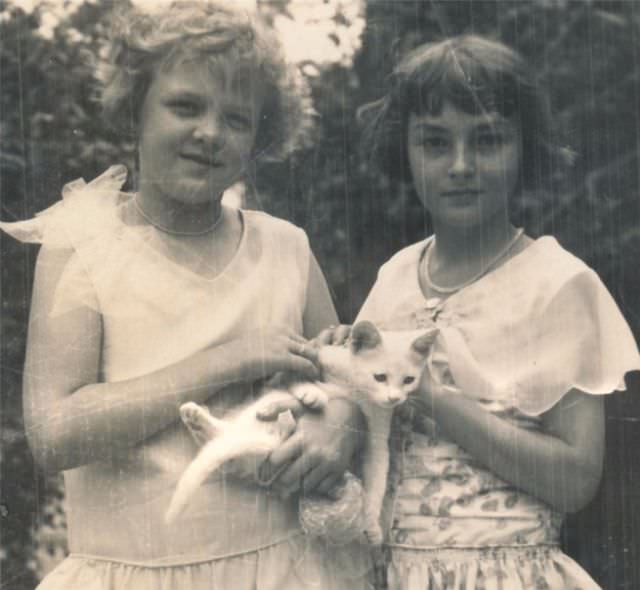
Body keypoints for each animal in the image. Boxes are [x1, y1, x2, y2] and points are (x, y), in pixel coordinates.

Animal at [165, 324, 436, 544]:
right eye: (380, 377)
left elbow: (377, 479)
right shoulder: (308, 359)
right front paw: (311, 393)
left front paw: (371, 525)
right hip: (264, 406)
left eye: (409, 380)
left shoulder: (377, 434)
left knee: (230, 449)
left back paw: (200, 423)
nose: (394, 398)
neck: (357, 389)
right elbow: (297, 377)